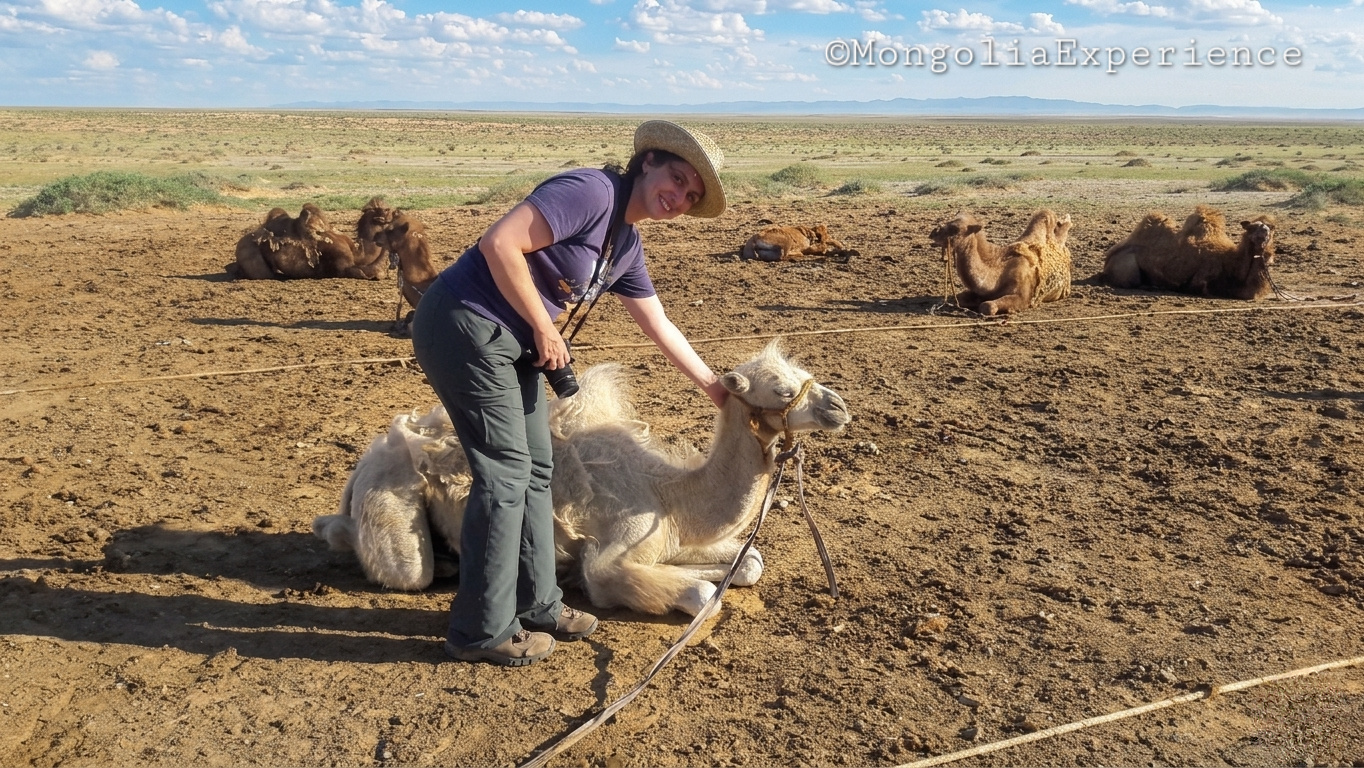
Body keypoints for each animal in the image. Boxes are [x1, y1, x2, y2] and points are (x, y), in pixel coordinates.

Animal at [312, 341, 852, 615]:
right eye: (781, 389)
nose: (839, 406)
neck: (668, 494)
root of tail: (367, 460)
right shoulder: (618, 547)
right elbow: (693, 597)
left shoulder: (668, 534)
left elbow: (751, 562)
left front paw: (718, 571)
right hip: (391, 508)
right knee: (401, 567)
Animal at [1101, 206, 1276, 300]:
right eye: (1251, 227)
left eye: (1269, 229)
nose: (1263, 233)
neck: (1231, 262)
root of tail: (1108, 259)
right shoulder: (1201, 278)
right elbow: (1202, 289)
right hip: (1128, 268)